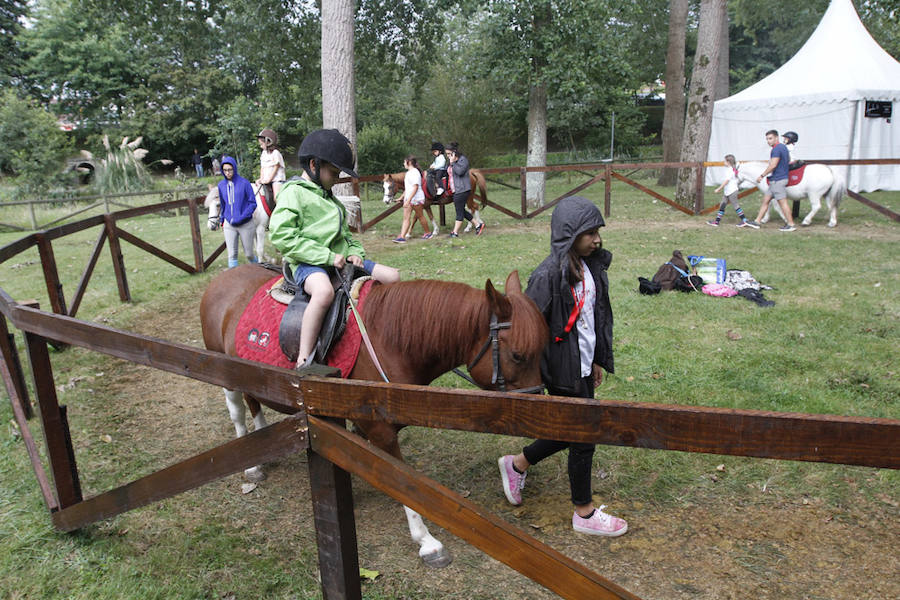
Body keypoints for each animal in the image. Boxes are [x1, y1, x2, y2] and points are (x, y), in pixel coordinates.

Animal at [200, 266, 544, 568]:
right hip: (223, 370)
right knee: (238, 409)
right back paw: (252, 465)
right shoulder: (380, 429)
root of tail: (221, 279)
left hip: (252, 374)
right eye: (518, 355)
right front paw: (427, 541)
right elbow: (404, 483)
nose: (537, 402)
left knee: (254, 401)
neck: (391, 340)